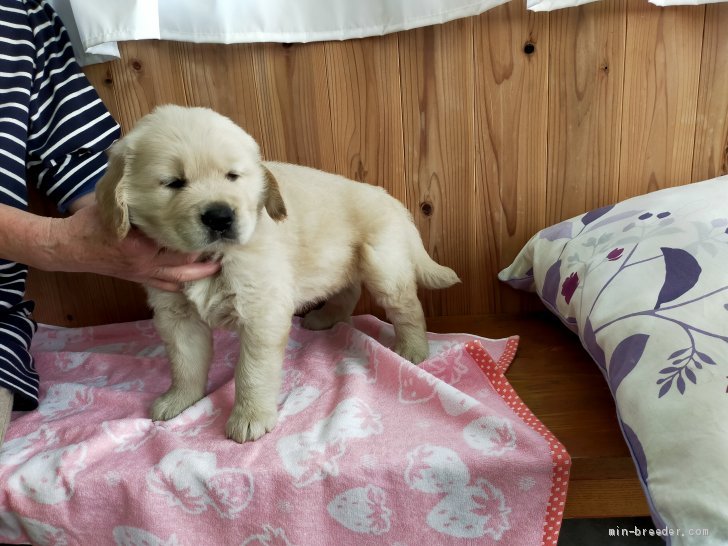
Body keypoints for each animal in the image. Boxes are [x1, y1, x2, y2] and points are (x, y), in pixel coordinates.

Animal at [96, 105, 458, 442]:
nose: (220, 217)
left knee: (407, 307)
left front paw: (250, 417)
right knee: (349, 291)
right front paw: (180, 400)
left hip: (383, 263)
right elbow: (185, 363)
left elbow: (252, 371)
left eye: (232, 176)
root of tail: (393, 201)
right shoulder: (176, 313)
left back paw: (412, 349)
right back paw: (324, 319)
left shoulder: (261, 311)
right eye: (173, 183)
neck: (215, 256)